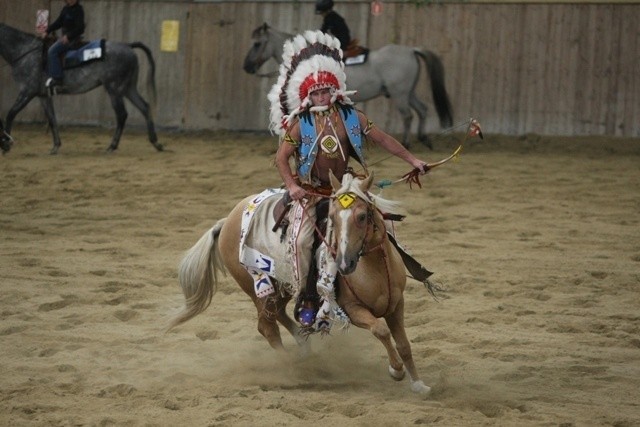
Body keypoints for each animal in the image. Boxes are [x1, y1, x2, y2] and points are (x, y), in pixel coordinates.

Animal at [0, 23, 162, 154]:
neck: (24, 52)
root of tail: (128, 46)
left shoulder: (27, 92)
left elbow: (10, 114)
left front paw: (6, 144)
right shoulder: (43, 96)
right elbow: (52, 119)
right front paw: (55, 146)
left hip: (114, 89)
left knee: (122, 115)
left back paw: (112, 146)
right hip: (128, 88)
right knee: (144, 107)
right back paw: (156, 142)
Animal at [168, 171, 432, 394]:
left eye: (362, 216)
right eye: (332, 218)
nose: (344, 263)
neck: (374, 269)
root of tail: (227, 221)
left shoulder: (396, 305)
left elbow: (404, 344)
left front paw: (419, 384)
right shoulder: (353, 310)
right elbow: (381, 330)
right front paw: (396, 371)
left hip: (282, 287)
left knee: (278, 314)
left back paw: (304, 349)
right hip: (259, 289)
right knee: (267, 327)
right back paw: (293, 370)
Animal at [242, 24, 452, 150]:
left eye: (257, 44)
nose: (247, 67)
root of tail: (411, 50)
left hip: (399, 94)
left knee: (408, 116)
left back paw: (407, 143)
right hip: (408, 93)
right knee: (422, 110)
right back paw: (425, 139)